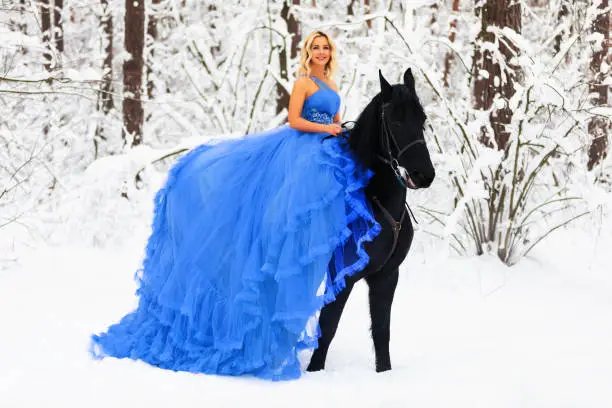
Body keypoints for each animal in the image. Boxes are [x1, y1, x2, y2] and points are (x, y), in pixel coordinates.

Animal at [308, 69, 432, 372]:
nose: (424, 174)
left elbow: (381, 331)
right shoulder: (342, 275)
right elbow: (327, 327)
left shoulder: (386, 276)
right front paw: (313, 371)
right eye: (395, 121)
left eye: (422, 119)